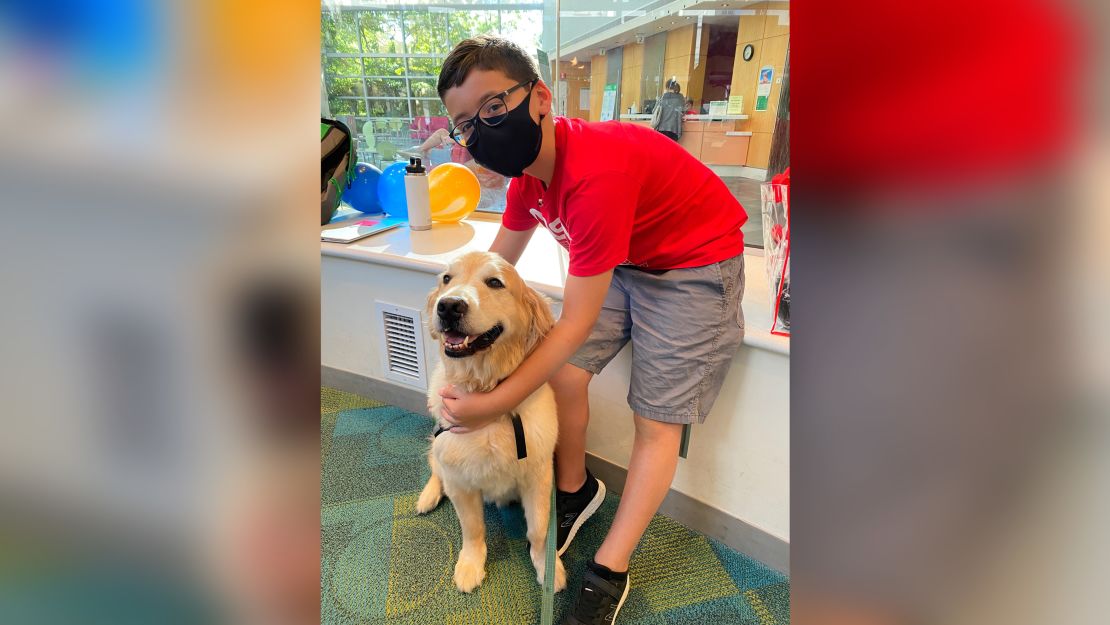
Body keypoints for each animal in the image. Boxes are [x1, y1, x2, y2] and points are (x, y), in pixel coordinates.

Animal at [417, 250, 572, 595]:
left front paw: (548, 567)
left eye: (494, 282)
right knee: (434, 468)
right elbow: (473, 528)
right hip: (439, 446)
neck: (484, 390)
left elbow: (539, 531)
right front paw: (470, 565)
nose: (449, 305)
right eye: (447, 279)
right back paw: (427, 497)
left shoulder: (539, 476)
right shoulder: (460, 482)